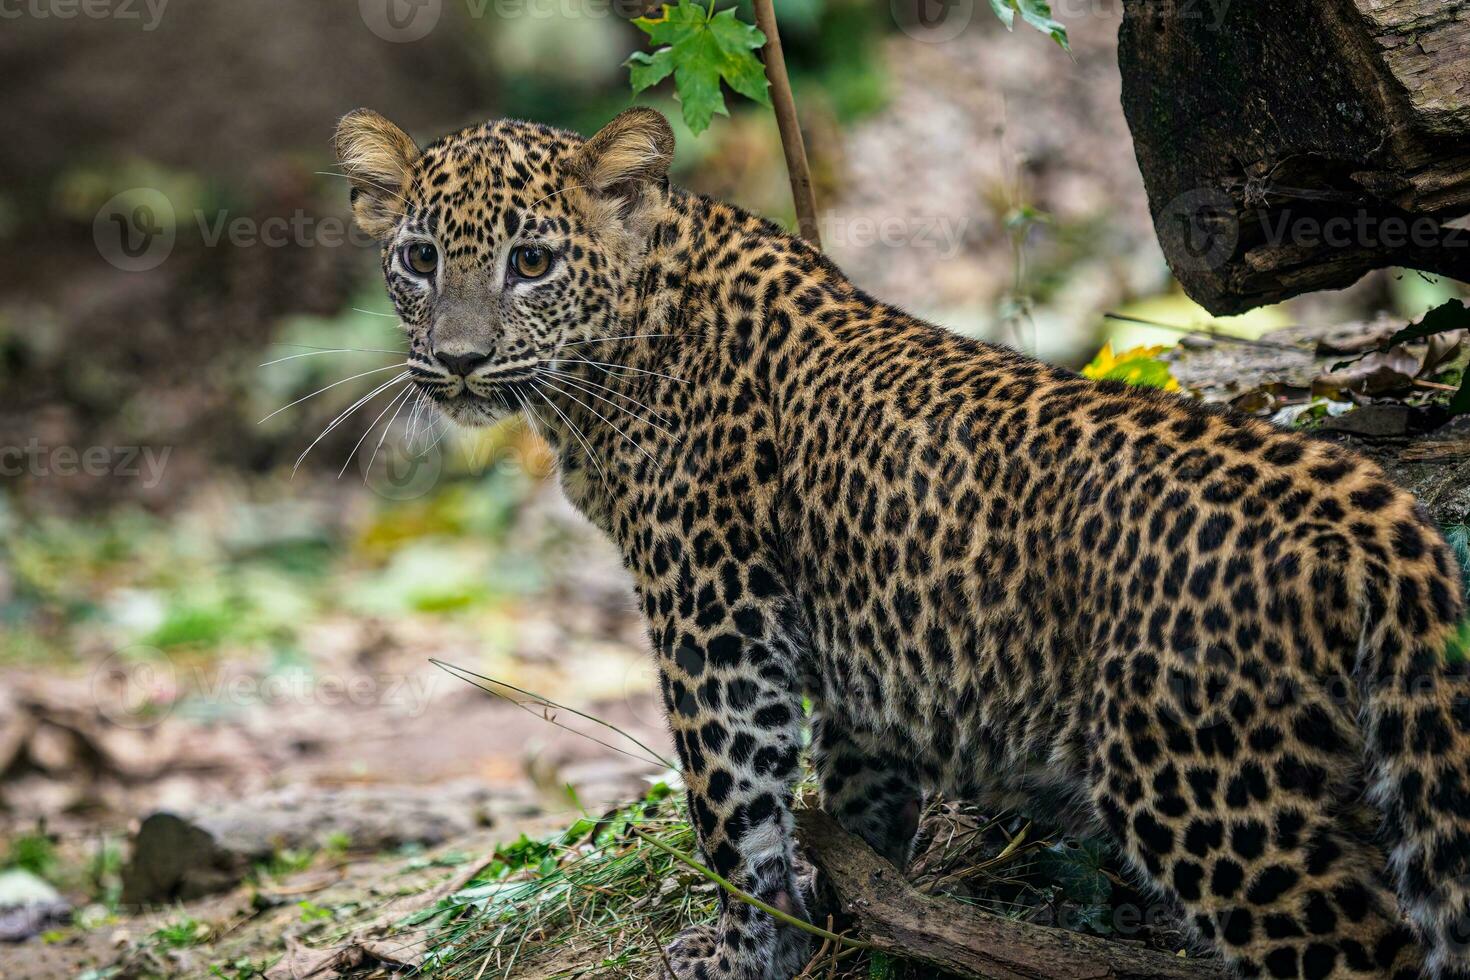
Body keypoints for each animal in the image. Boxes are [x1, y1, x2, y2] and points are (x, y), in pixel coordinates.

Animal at [336, 107, 1470, 980]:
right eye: (419, 259)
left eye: (530, 262)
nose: (458, 360)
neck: (620, 350)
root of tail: (1370, 508)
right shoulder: (862, 652)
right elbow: (856, 787)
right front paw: (841, 911)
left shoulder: (716, 625)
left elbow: (731, 805)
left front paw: (746, 944)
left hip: (1211, 787)